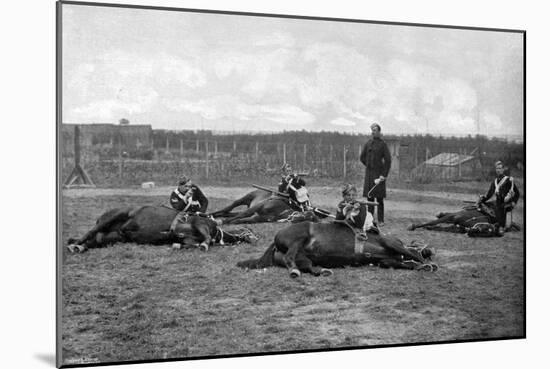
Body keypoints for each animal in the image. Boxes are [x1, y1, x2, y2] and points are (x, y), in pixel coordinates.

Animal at [67, 204, 258, 253]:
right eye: (249, 231)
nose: (256, 238)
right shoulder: (199, 224)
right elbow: (206, 240)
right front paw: (204, 244)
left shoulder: (188, 238)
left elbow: (189, 243)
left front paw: (177, 245)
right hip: (114, 217)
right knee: (89, 233)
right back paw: (74, 245)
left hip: (113, 237)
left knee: (93, 241)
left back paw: (79, 247)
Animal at [239, 220, 438, 278]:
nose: (431, 251)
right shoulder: (391, 243)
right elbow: (412, 254)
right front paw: (426, 263)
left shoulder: (386, 260)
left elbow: (402, 262)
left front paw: (420, 265)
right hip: (298, 238)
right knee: (290, 259)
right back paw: (295, 271)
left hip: (303, 257)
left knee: (307, 266)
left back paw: (321, 271)